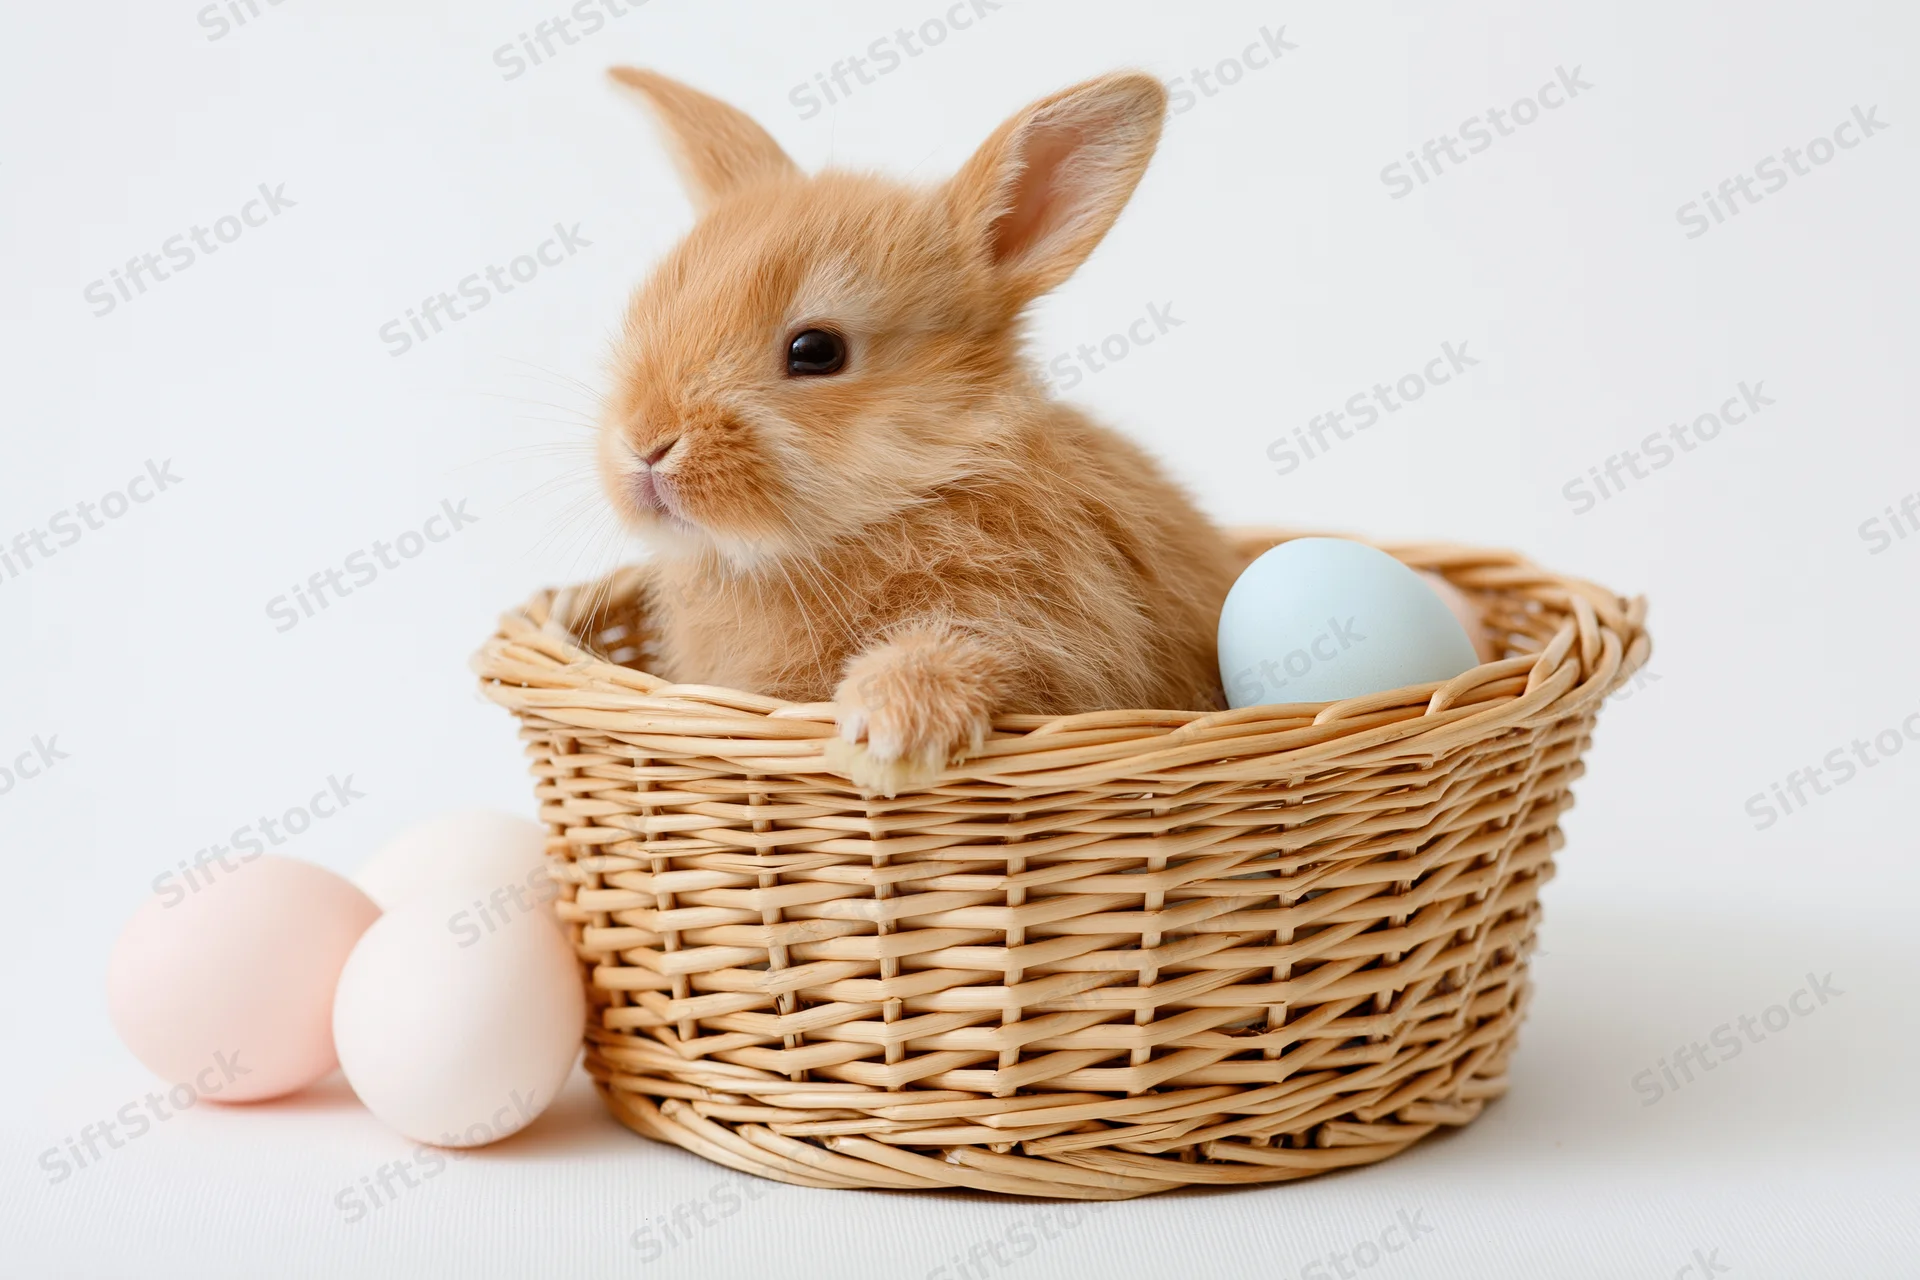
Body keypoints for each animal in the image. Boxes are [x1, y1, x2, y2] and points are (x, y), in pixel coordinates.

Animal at [595, 66, 1240, 794]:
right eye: (648, 312)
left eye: (816, 351)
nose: (645, 443)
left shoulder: (1053, 629)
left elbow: (981, 647)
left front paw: (887, 729)